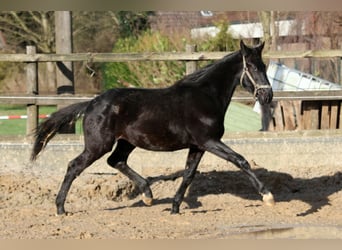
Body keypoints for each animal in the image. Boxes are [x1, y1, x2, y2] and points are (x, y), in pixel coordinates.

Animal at [30, 40, 274, 215]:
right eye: (252, 67)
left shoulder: (198, 146)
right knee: (74, 166)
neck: (206, 96)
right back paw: (60, 208)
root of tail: (91, 103)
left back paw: (148, 195)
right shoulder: (209, 141)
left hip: (126, 142)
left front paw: (175, 207)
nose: (267, 95)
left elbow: (188, 175)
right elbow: (240, 160)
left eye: (264, 66)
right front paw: (267, 195)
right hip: (98, 144)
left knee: (116, 161)